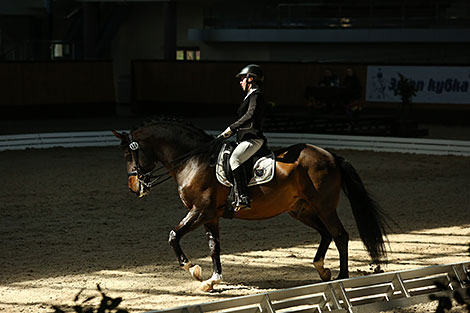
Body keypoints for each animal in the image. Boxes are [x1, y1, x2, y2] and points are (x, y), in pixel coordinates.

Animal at [112, 116, 392, 292]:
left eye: (128, 154)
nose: (134, 187)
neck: (194, 160)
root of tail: (330, 155)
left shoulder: (200, 211)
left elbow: (173, 235)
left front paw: (193, 269)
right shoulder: (210, 216)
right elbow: (214, 247)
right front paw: (212, 280)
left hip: (324, 207)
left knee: (339, 234)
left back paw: (342, 279)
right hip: (300, 210)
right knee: (326, 234)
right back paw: (322, 271)